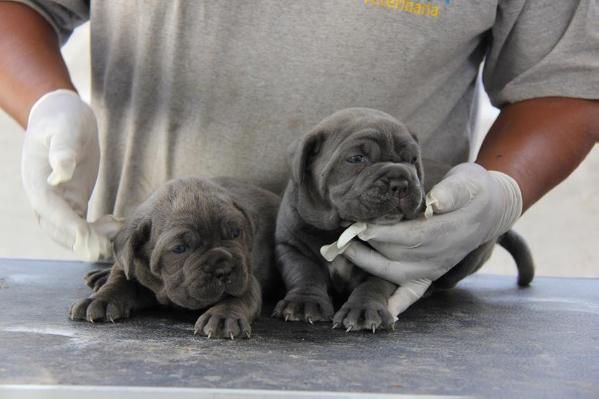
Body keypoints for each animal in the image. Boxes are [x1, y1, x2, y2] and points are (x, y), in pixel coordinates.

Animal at [68, 177, 282, 340]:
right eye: (180, 249)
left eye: (236, 233)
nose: (224, 269)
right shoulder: (130, 266)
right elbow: (117, 282)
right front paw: (100, 299)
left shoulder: (247, 279)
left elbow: (239, 297)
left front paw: (224, 316)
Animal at [272, 108, 536, 332]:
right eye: (356, 158)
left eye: (412, 159)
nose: (400, 181)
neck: (339, 231)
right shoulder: (292, 247)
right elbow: (304, 274)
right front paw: (304, 302)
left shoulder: (388, 262)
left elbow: (373, 284)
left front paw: (363, 309)